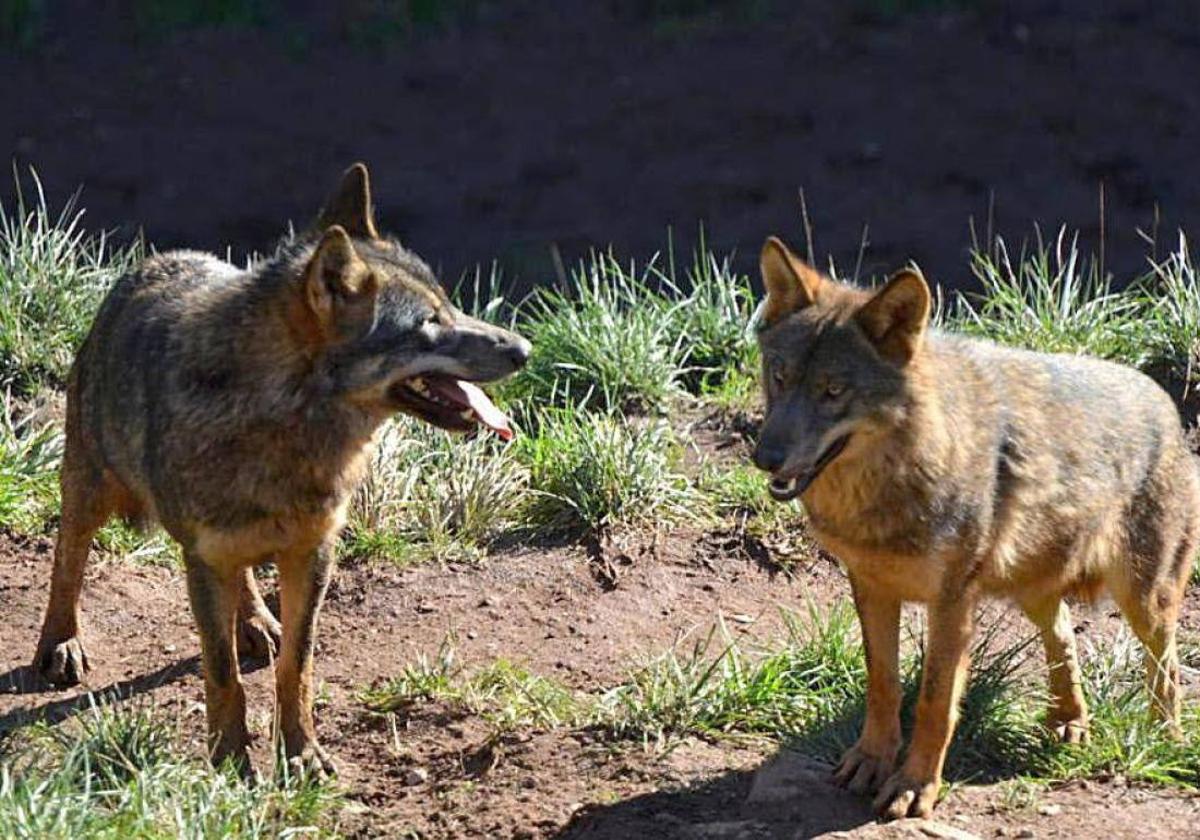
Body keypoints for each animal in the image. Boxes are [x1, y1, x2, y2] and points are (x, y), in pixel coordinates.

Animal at [31, 160, 530, 777]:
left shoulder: (312, 553)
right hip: (89, 488)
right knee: (67, 561)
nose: (525, 349)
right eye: (428, 324)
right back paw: (60, 644)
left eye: (451, 305)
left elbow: (297, 666)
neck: (285, 427)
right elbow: (222, 673)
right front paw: (229, 762)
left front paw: (302, 754)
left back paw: (255, 624)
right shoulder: (204, 558)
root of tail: (154, 261)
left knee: (245, 584)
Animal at [753, 236, 1195, 820]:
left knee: (1166, 668)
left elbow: (935, 701)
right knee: (1063, 635)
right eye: (779, 377)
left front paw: (914, 786)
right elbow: (883, 684)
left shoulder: (951, 602)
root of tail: (1161, 397)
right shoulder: (871, 587)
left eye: (833, 391)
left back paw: (1164, 739)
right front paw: (871, 760)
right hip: (1034, 588)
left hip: (1145, 600)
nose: (765, 457)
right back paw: (1069, 722)